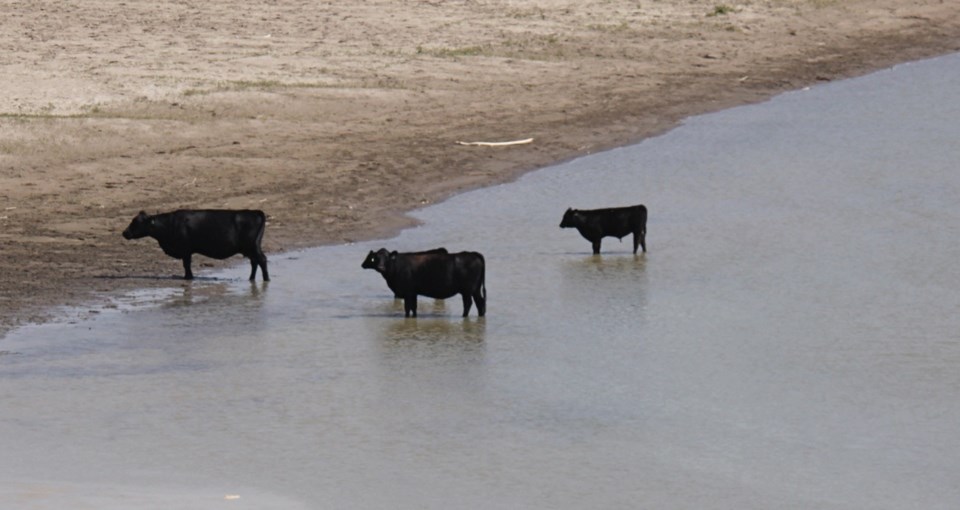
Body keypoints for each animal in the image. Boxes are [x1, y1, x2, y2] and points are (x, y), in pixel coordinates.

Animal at [123, 208, 270, 282]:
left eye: (136, 222)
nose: (124, 232)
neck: (170, 224)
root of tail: (254, 212)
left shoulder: (185, 250)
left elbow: (186, 264)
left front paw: (188, 277)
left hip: (253, 246)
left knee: (262, 260)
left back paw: (266, 279)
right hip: (250, 249)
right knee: (254, 262)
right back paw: (251, 279)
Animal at [364, 249, 492, 316]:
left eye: (387, 258)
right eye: (376, 258)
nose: (381, 267)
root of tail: (472, 253)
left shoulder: (407, 292)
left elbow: (407, 308)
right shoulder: (413, 293)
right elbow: (414, 308)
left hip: (468, 290)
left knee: (469, 303)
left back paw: (464, 317)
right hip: (475, 289)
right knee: (480, 302)